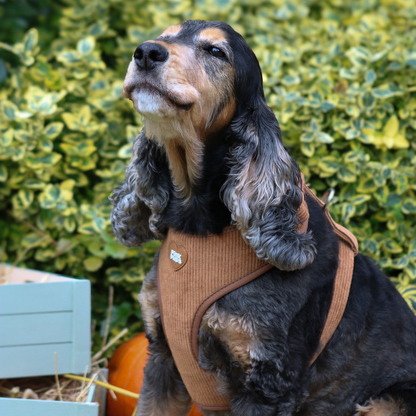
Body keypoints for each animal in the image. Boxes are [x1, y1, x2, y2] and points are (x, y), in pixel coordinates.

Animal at [110, 19, 416, 416]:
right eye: (164, 35)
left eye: (215, 51)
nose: (146, 52)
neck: (201, 227)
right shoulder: (163, 359)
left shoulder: (266, 384)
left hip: (388, 402)